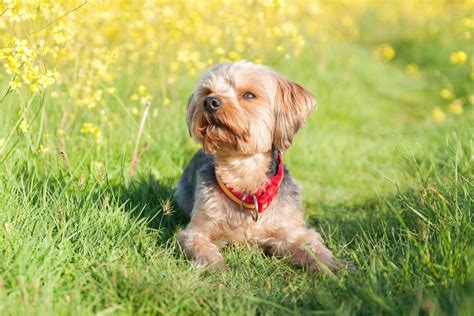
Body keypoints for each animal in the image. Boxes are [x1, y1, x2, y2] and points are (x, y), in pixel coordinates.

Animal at [174, 61, 348, 272]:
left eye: (249, 95)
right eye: (207, 92)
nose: (209, 102)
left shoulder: (293, 229)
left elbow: (313, 248)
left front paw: (336, 267)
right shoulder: (197, 229)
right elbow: (201, 245)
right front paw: (215, 268)